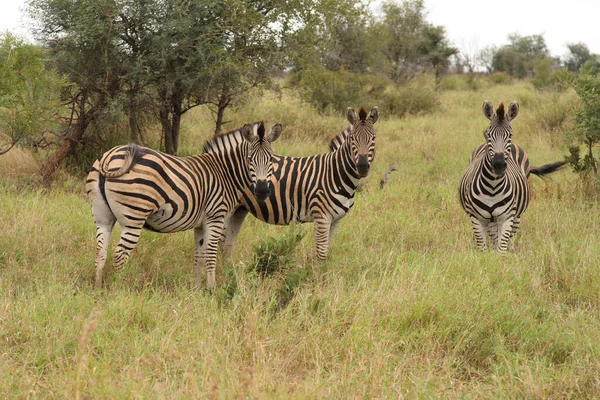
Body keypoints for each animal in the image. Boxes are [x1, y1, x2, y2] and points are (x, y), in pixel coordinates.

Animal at [85, 120, 282, 290]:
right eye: (249, 159)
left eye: (272, 159)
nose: (262, 191)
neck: (225, 173)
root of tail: (111, 156)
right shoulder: (215, 217)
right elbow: (210, 254)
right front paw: (212, 289)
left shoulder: (200, 224)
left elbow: (199, 255)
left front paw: (196, 288)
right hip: (134, 216)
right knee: (119, 255)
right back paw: (121, 288)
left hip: (103, 217)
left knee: (100, 252)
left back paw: (98, 288)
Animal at [213, 106, 378, 260]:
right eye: (352, 139)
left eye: (373, 139)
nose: (362, 166)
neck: (335, 174)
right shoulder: (322, 217)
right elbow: (321, 254)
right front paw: (316, 273)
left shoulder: (336, 220)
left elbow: (326, 251)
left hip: (240, 209)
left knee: (226, 243)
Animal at [460, 100, 568, 252]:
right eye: (488, 134)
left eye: (510, 135)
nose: (498, 165)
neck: (492, 187)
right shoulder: (476, 219)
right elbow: (483, 248)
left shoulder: (507, 217)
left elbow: (501, 248)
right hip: (491, 220)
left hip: (516, 216)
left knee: (510, 237)